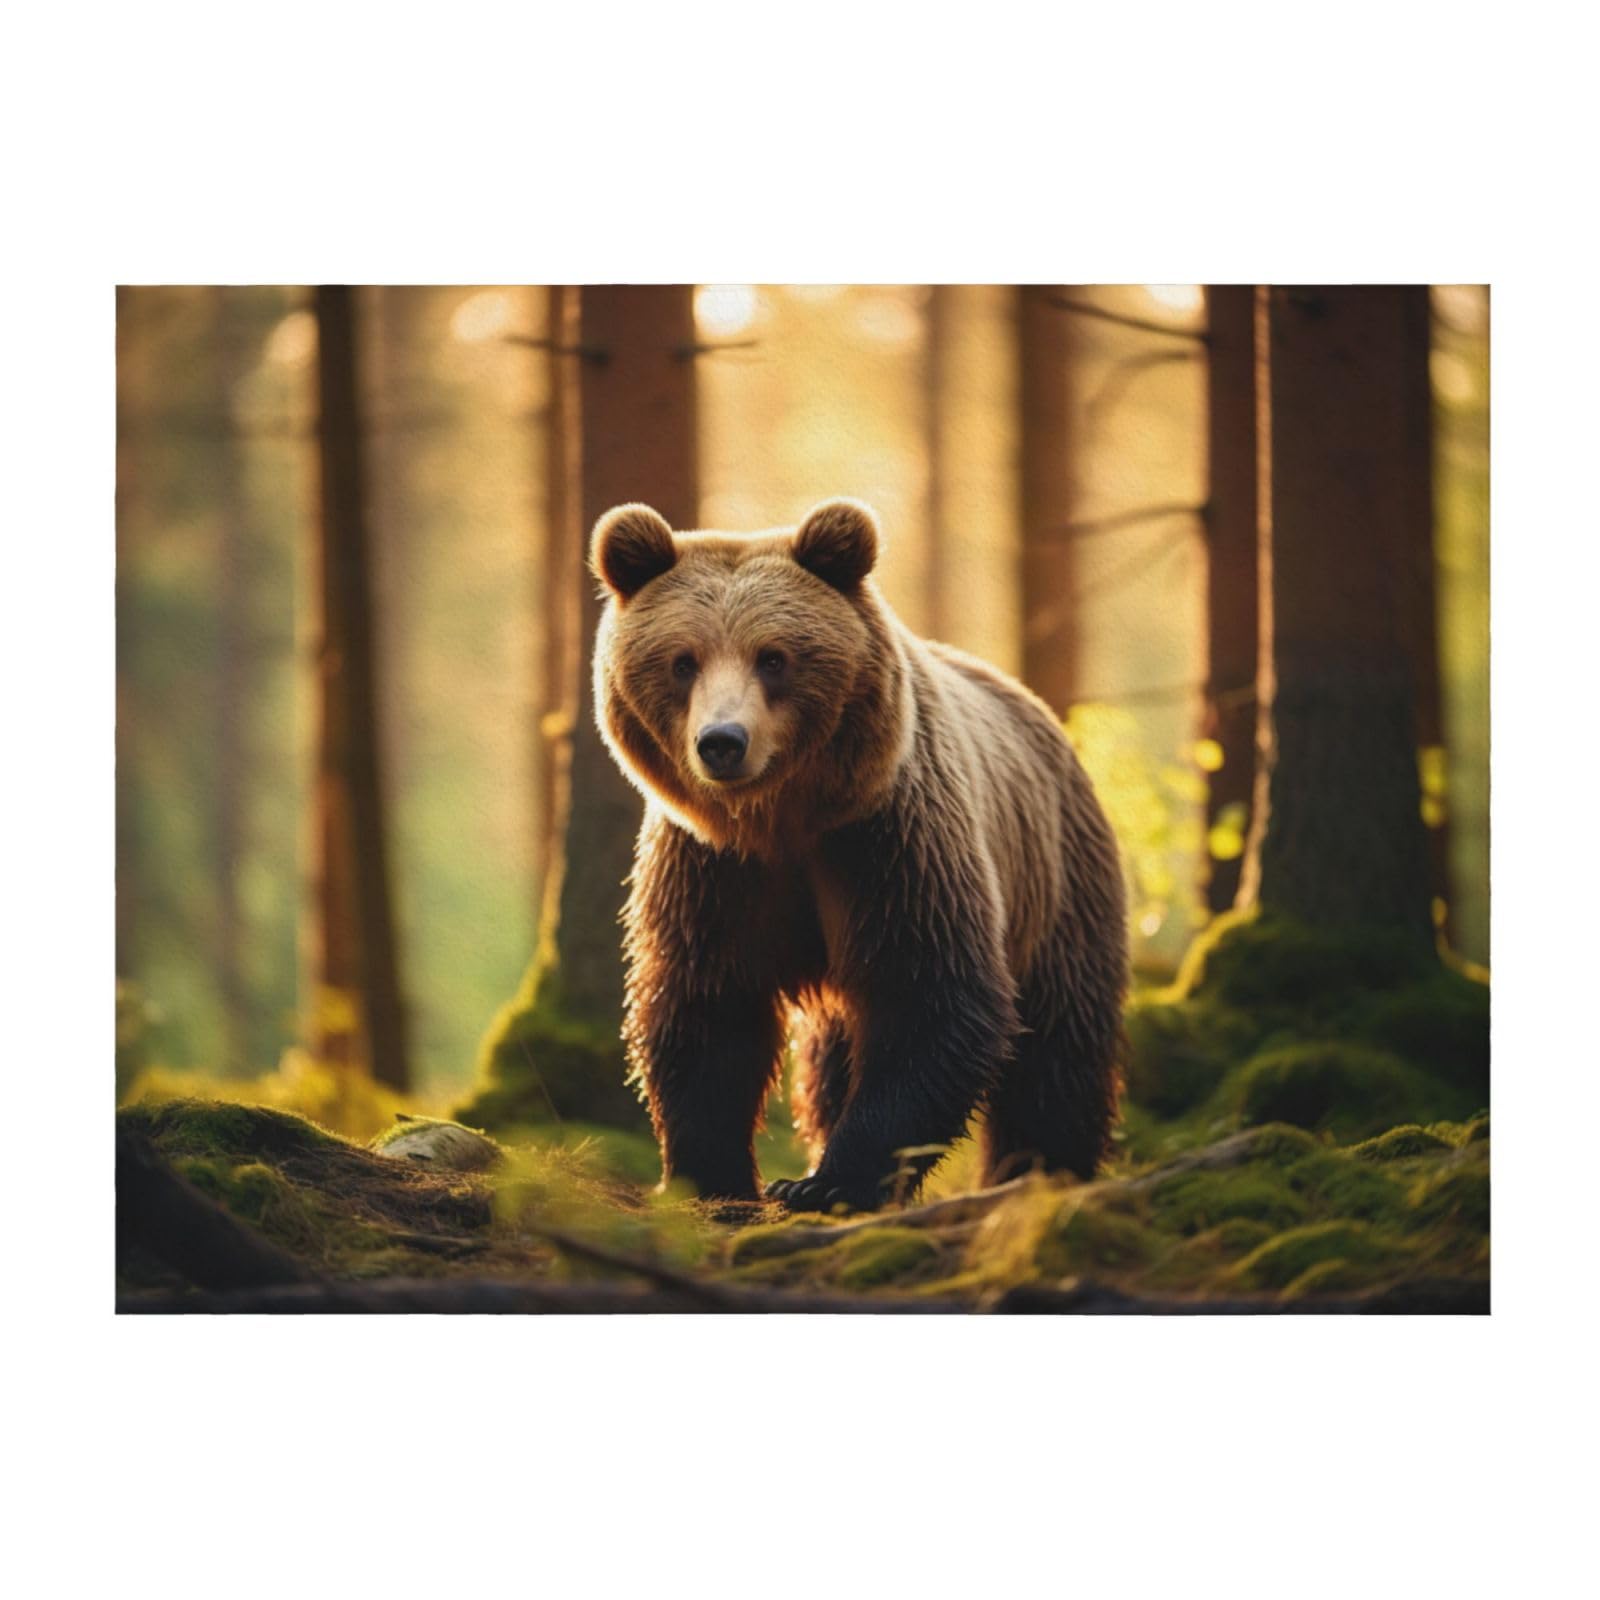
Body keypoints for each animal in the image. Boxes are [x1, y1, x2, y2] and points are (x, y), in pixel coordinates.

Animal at [590, 496, 1128, 1212]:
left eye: (773, 657)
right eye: (683, 660)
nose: (722, 742)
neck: (779, 819)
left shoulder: (887, 841)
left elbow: (928, 998)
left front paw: (824, 1181)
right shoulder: (713, 870)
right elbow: (707, 1006)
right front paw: (712, 1176)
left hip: (1057, 879)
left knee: (1059, 1048)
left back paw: (1040, 1169)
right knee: (833, 1055)